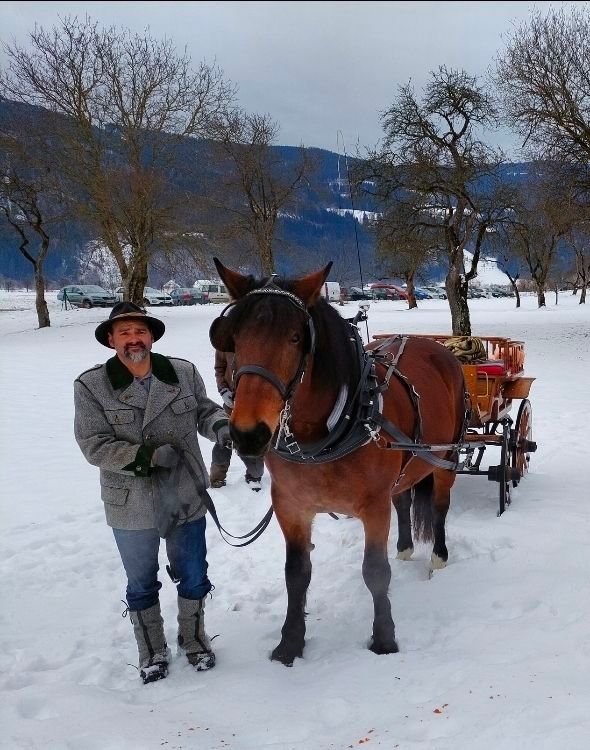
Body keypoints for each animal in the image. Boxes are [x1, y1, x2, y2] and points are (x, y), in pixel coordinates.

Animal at [209, 259, 467, 666]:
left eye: (295, 338)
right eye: (233, 339)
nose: (248, 434)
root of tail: (431, 344)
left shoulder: (373, 506)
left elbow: (375, 571)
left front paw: (384, 639)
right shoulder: (290, 505)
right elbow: (296, 573)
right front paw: (290, 643)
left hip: (446, 456)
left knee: (440, 506)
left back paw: (438, 556)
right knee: (404, 499)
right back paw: (405, 546)